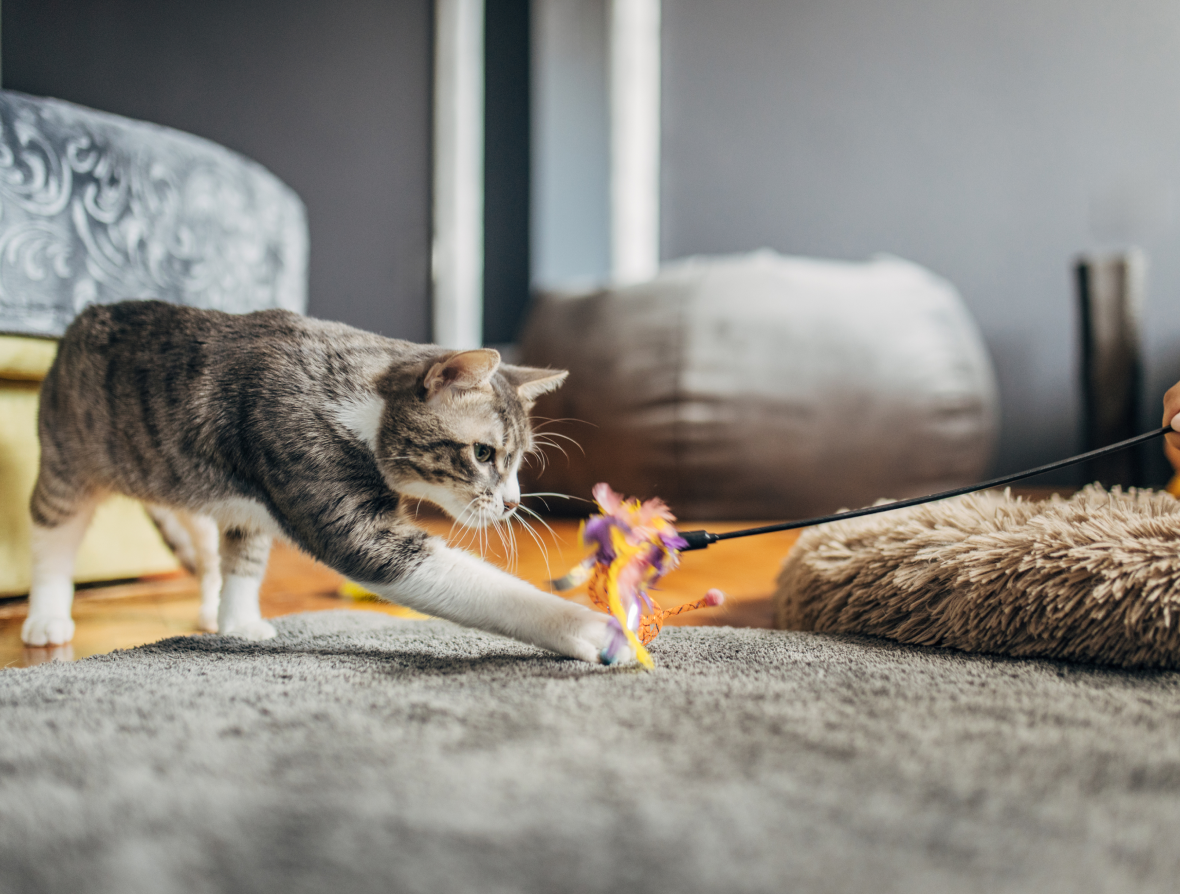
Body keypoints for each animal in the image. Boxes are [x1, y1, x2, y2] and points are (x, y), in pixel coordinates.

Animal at [23, 300, 627, 665]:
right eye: (482, 453)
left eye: (520, 459)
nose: (511, 504)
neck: (359, 400)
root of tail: (86, 314)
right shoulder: (316, 474)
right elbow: (470, 582)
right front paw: (593, 629)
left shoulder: (254, 498)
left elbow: (245, 557)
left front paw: (239, 622)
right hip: (67, 457)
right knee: (53, 533)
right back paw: (47, 617)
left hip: (192, 484)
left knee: (207, 539)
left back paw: (213, 605)